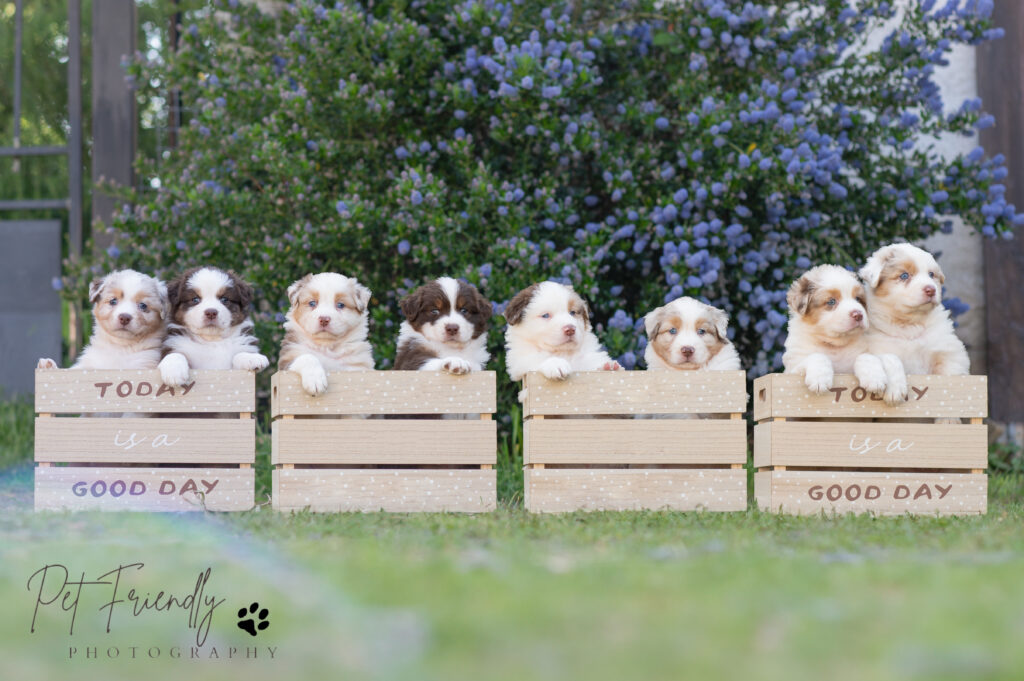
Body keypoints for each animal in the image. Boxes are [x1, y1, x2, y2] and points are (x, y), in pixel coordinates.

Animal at [778, 264, 901, 403]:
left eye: (858, 299)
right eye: (831, 301)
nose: (858, 314)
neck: (835, 346)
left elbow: (865, 356)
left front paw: (874, 378)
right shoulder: (791, 371)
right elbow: (817, 356)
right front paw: (820, 380)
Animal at [856, 241, 966, 374]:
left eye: (931, 274)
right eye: (904, 275)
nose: (931, 290)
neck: (910, 325)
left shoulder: (948, 352)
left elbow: (950, 371)